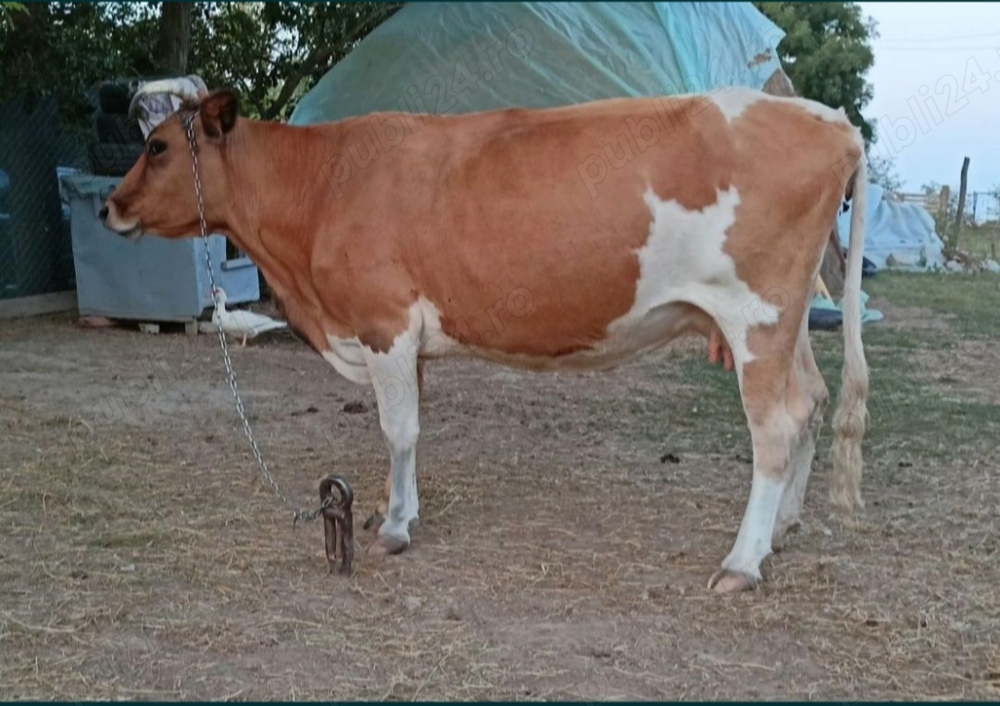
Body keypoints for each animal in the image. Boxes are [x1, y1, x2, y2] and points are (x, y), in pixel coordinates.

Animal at [102, 83, 869, 592]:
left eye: (157, 146)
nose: (109, 205)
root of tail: (826, 118)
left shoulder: (384, 322)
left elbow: (399, 430)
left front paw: (394, 530)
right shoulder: (404, 338)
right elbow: (407, 434)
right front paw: (400, 509)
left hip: (755, 315)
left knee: (776, 427)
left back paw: (742, 562)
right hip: (786, 320)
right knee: (812, 402)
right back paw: (782, 532)